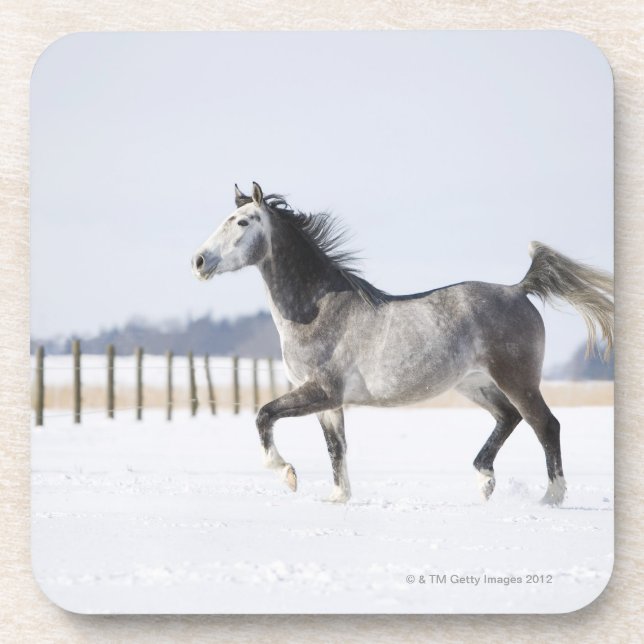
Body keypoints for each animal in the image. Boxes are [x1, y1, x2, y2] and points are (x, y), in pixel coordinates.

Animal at [192, 182, 613, 506]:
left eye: (242, 221)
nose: (199, 261)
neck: (319, 308)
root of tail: (517, 289)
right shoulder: (328, 402)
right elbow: (336, 447)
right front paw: (338, 498)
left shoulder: (321, 391)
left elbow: (264, 415)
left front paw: (288, 475)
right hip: (474, 383)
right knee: (508, 417)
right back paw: (485, 481)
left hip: (517, 380)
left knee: (545, 425)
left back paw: (550, 498)